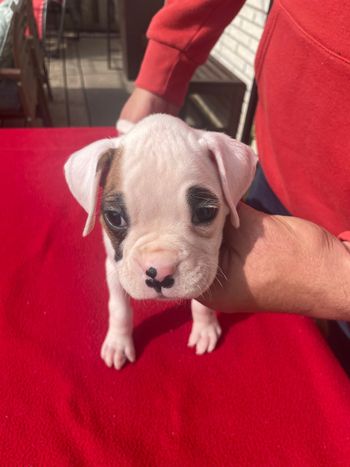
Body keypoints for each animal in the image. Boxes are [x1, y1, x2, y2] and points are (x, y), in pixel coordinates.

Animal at [64, 113, 258, 370]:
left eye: (205, 212)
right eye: (114, 217)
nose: (159, 272)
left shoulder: (207, 271)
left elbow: (203, 300)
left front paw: (204, 327)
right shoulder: (113, 269)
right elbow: (119, 307)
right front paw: (118, 342)